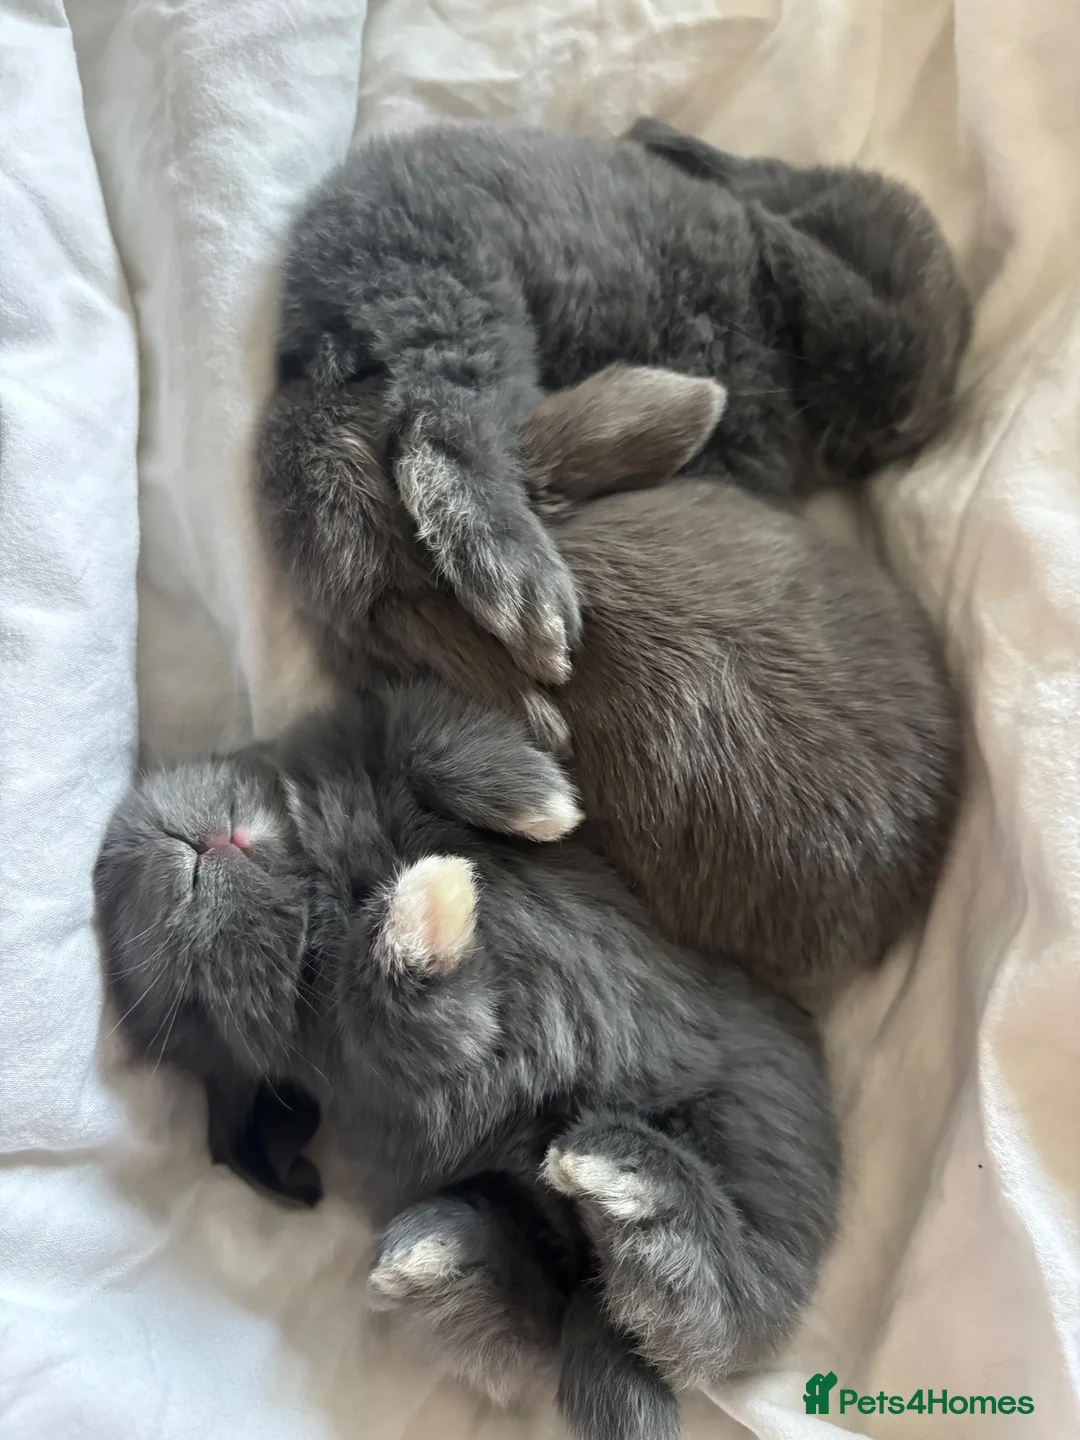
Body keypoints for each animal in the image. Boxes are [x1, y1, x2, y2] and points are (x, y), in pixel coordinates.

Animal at [93, 680, 841, 1440]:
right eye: (195, 1007)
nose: (185, 856)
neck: (320, 876)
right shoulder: (385, 1057)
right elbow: (405, 1008)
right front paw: (432, 906)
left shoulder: (378, 724)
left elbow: (426, 733)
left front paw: (542, 804)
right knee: (694, 1314)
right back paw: (478, 1243)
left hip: (750, 1124)